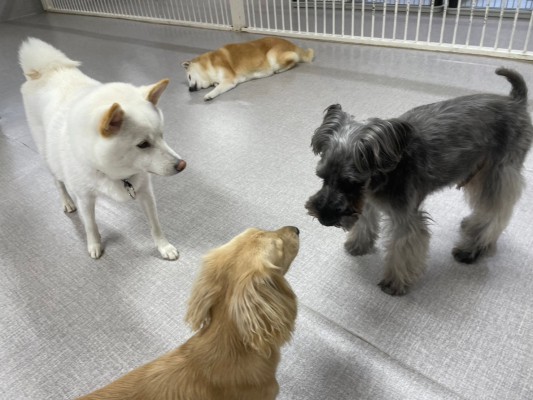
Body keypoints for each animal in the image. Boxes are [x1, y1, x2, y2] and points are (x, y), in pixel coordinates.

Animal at [18, 38, 186, 260]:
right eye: (143, 144)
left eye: (162, 135)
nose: (182, 165)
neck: (116, 174)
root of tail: (46, 70)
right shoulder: (85, 199)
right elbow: (90, 225)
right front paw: (94, 244)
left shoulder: (145, 193)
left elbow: (155, 225)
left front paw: (163, 246)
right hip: (47, 156)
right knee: (58, 182)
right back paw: (67, 201)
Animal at [181, 36, 312, 101]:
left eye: (189, 77)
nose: (190, 89)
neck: (210, 64)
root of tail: (293, 45)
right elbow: (216, 84)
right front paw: (214, 85)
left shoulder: (229, 80)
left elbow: (217, 89)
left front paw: (210, 94)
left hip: (272, 56)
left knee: (294, 60)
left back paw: (280, 70)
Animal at [304, 68, 532, 294]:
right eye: (321, 176)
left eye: (350, 182)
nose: (324, 218)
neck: (386, 169)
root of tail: (516, 101)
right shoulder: (366, 201)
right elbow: (365, 221)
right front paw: (359, 244)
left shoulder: (406, 218)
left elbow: (403, 247)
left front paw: (394, 282)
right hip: (478, 173)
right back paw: (470, 225)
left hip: (498, 174)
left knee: (495, 214)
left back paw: (472, 249)